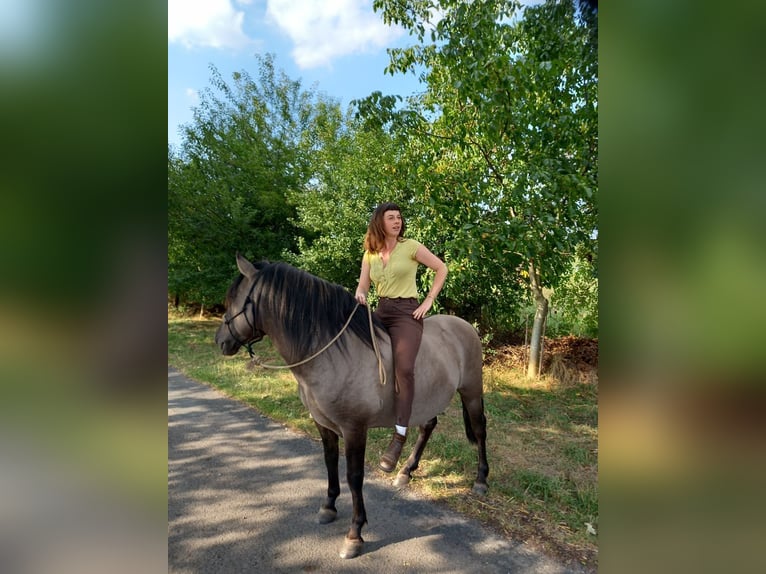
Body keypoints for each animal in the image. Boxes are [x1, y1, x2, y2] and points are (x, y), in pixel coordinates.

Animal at [214, 253, 489, 559]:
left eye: (233, 300)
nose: (220, 340)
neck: (331, 352)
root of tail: (464, 325)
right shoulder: (323, 423)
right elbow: (330, 462)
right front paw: (328, 507)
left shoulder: (354, 428)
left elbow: (354, 476)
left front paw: (354, 534)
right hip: (427, 399)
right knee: (427, 427)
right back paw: (405, 472)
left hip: (471, 392)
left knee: (479, 430)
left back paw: (480, 481)